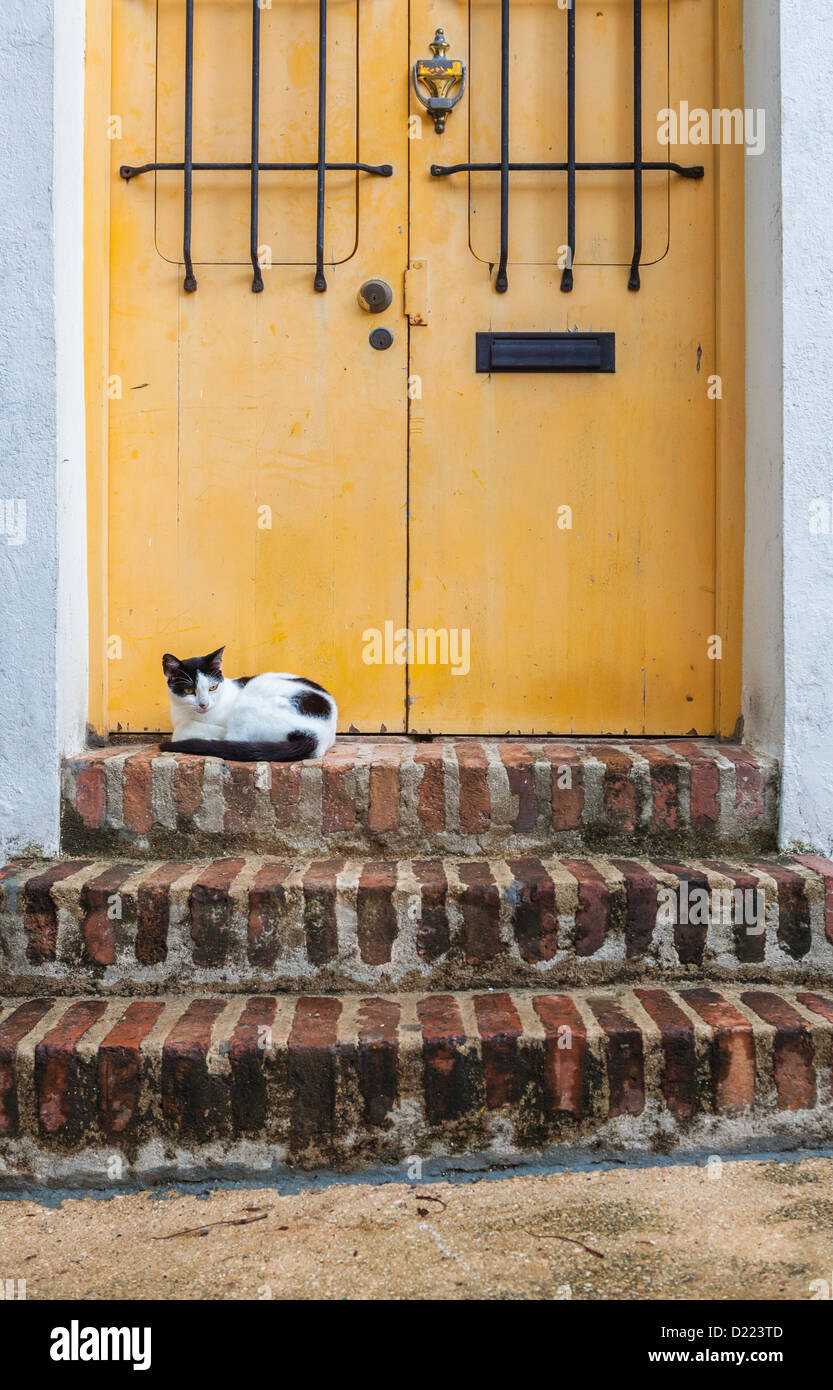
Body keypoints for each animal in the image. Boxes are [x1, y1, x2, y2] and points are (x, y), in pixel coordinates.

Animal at [159, 647, 335, 761]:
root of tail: (316, 736)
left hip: (248, 704)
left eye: (212, 687)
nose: (204, 704)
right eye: (189, 690)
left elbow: (181, 730)